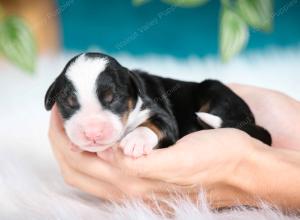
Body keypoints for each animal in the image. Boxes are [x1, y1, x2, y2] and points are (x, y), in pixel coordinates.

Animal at [44, 52, 272, 157]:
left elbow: (155, 124)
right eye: (69, 103)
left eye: (113, 99)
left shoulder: (161, 113)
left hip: (215, 90)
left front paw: (135, 140)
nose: (92, 133)